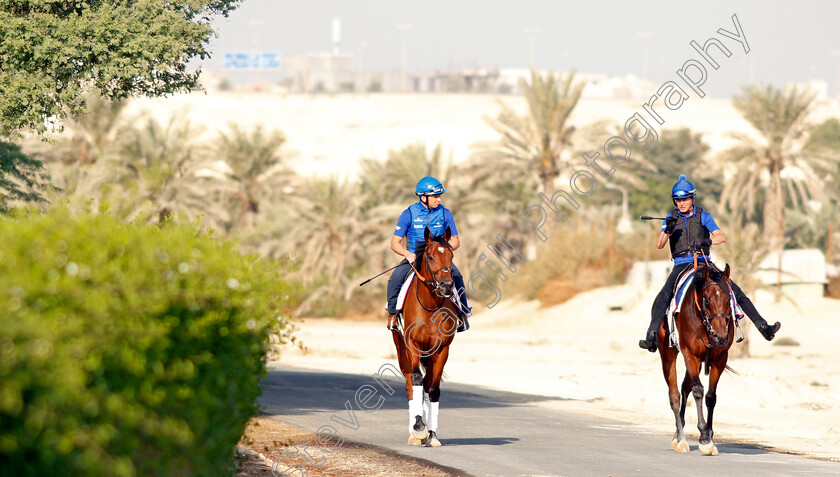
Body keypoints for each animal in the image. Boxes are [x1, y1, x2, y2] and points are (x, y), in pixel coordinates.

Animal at [388, 227, 456, 446]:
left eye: (451, 256)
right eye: (430, 256)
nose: (446, 285)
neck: (430, 304)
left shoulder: (442, 349)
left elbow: (432, 389)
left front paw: (432, 434)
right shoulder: (413, 344)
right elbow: (417, 379)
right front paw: (418, 427)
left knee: (426, 385)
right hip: (401, 347)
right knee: (411, 383)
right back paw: (414, 433)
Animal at [656, 256, 736, 454]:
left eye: (728, 299)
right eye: (706, 299)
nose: (721, 336)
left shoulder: (719, 358)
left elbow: (711, 396)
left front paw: (709, 435)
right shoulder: (690, 353)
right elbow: (698, 390)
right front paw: (704, 438)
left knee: (685, 388)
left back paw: (678, 434)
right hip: (669, 355)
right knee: (675, 395)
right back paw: (681, 438)